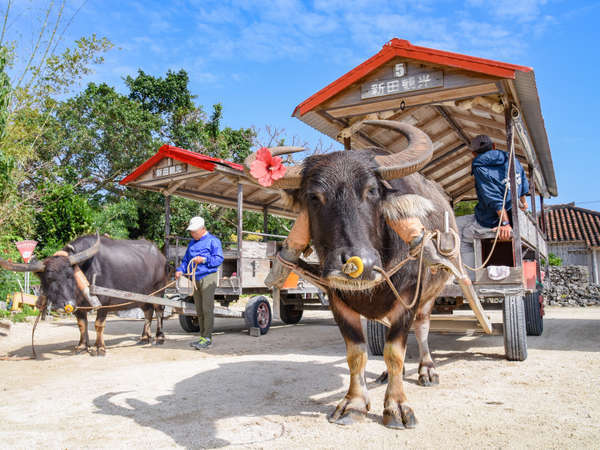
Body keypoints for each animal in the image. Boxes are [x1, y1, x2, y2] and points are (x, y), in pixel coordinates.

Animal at [0, 234, 168, 356]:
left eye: (70, 275)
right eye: (48, 278)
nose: (65, 305)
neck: (87, 269)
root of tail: (161, 256)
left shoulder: (104, 303)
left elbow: (98, 325)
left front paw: (99, 348)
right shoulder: (78, 306)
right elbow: (82, 324)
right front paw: (82, 346)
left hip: (159, 290)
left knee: (159, 310)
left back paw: (159, 337)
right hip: (143, 296)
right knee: (148, 312)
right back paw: (144, 337)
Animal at [246, 121, 458, 430]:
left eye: (372, 191)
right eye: (314, 197)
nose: (359, 263)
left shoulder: (408, 297)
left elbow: (395, 351)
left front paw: (397, 406)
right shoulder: (337, 299)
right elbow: (356, 353)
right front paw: (355, 403)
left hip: (431, 295)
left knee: (422, 329)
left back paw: (427, 370)